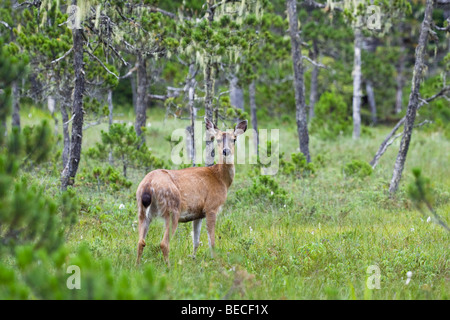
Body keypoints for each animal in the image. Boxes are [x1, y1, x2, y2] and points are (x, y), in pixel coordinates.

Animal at [135, 117, 248, 264]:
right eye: (217, 139)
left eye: (234, 139)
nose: (225, 151)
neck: (220, 178)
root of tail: (148, 184)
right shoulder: (211, 207)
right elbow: (211, 241)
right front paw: (215, 261)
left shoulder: (198, 213)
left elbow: (196, 241)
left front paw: (193, 258)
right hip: (172, 209)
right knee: (164, 243)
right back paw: (168, 266)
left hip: (142, 210)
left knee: (140, 242)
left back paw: (137, 265)